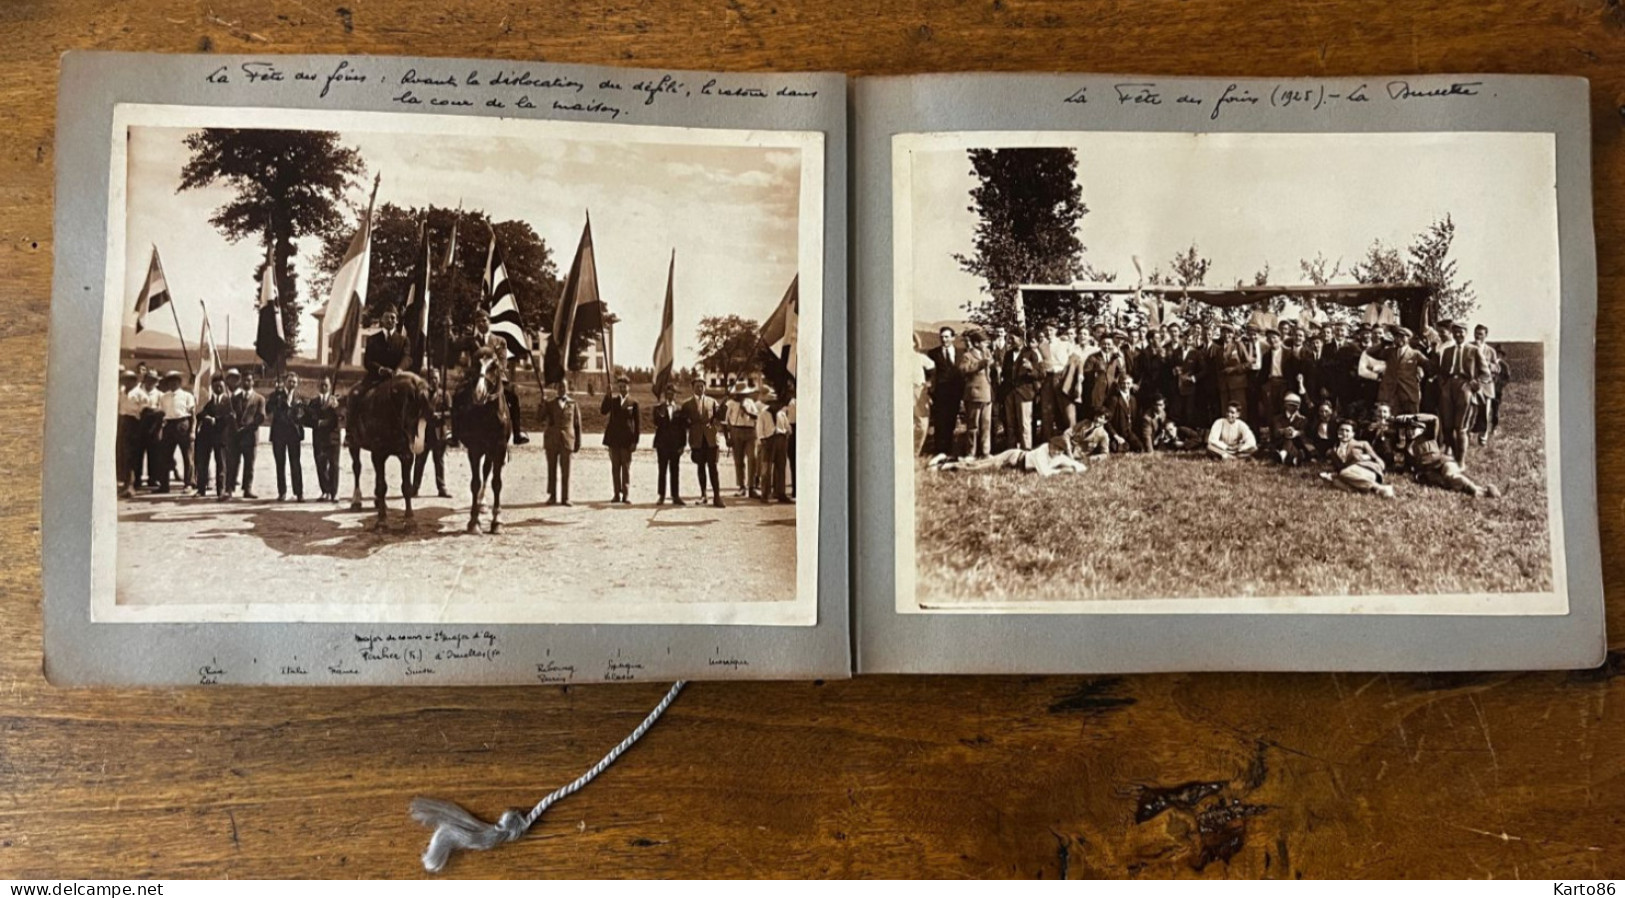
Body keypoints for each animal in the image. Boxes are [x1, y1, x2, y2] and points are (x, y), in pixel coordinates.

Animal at [346, 371, 432, 526]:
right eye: (413, 411)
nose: (418, 445)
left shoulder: (406, 456)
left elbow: (406, 487)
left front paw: (409, 519)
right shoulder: (378, 454)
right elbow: (382, 486)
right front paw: (381, 520)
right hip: (354, 445)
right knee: (357, 468)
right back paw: (356, 501)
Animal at [451, 349, 507, 532]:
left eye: (494, 365)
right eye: (475, 364)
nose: (479, 393)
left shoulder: (499, 448)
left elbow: (497, 483)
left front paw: (497, 521)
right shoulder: (474, 449)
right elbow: (475, 483)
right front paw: (474, 522)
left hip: (491, 451)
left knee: (487, 471)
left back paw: (483, 504)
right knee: (484, 473)